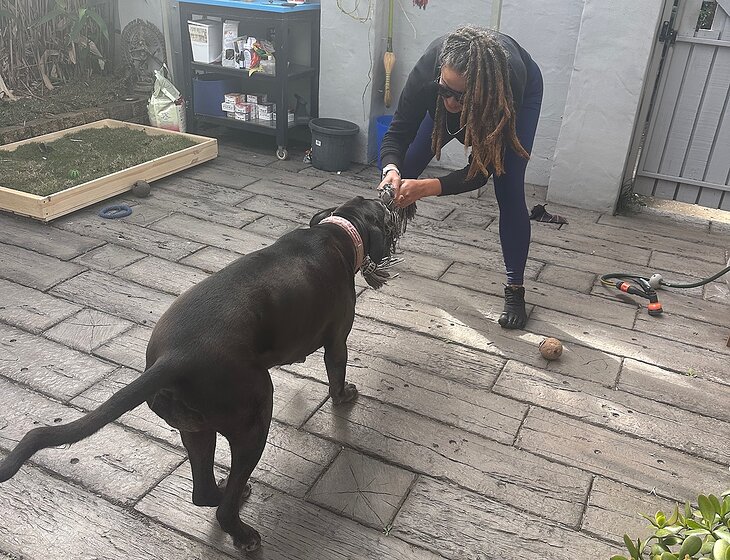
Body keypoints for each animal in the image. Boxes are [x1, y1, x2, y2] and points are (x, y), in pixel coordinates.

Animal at [0, 195, 410, 552]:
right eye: (386, 214)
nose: (395, 205)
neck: (337, 230)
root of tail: (172, 358)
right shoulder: (337, 340)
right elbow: (337, 376)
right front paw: (345, 396)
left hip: (196, 430)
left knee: (203, 492)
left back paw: (232, 493)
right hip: (253, 417)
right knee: (223, 508)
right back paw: (244, 533)